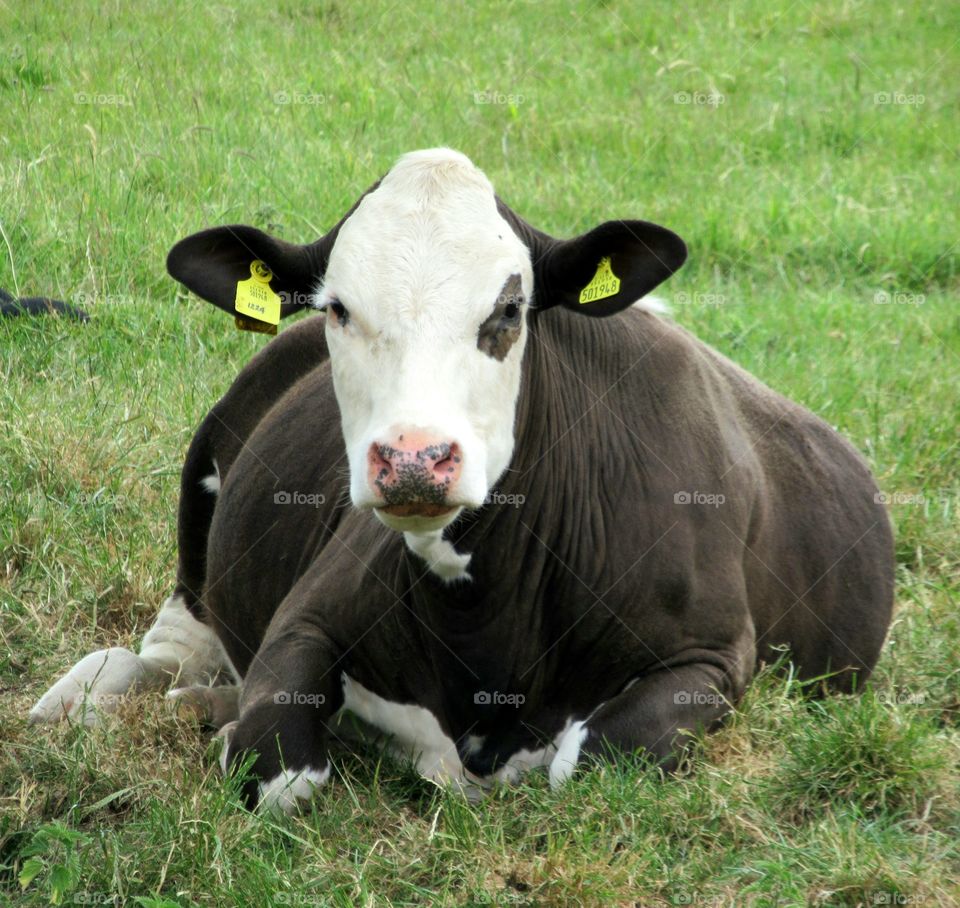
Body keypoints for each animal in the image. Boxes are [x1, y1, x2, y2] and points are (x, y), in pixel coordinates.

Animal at [33, 145, 896, 812]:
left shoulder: (713, 655)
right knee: (158, 653)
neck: (485, 623)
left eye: (509, 311)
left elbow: (586, 759)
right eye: (338, 308)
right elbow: (275, 770)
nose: (415, 457)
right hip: (202, 492)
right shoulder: (304, 616)